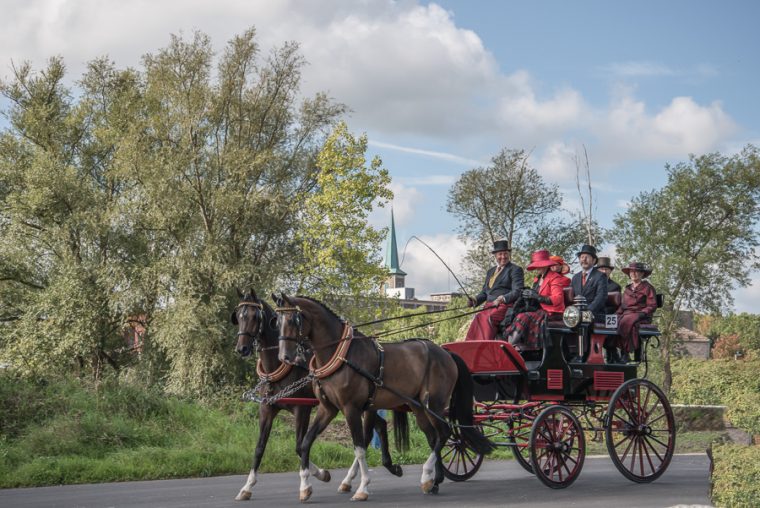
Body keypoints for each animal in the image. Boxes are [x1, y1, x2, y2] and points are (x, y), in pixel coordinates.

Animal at [232, 290, 400, 500]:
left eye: (255, 316)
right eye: (238, 317)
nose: (242, 349)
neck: (280, 367)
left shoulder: (302, 409)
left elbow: (299, 445)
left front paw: (319, 475)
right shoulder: (266, 409)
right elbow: (259, 447)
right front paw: (247, 487)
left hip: (362, 406)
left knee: (367, 434)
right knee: (380, 426)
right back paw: (378, 469)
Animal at [274, 292, 492, 502]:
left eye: (293, 319)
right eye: (277, 321)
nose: (284, 357)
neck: (340, 355)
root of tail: (445, 352)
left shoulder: (351, 408)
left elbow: (360, 447)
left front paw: (362, 488)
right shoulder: (328, 408)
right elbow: (306, 442)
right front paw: (305, 487)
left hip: (434, 405)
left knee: (444, 433)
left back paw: (426, 475)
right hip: (419, 407)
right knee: (434, 437)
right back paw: (434, 481)